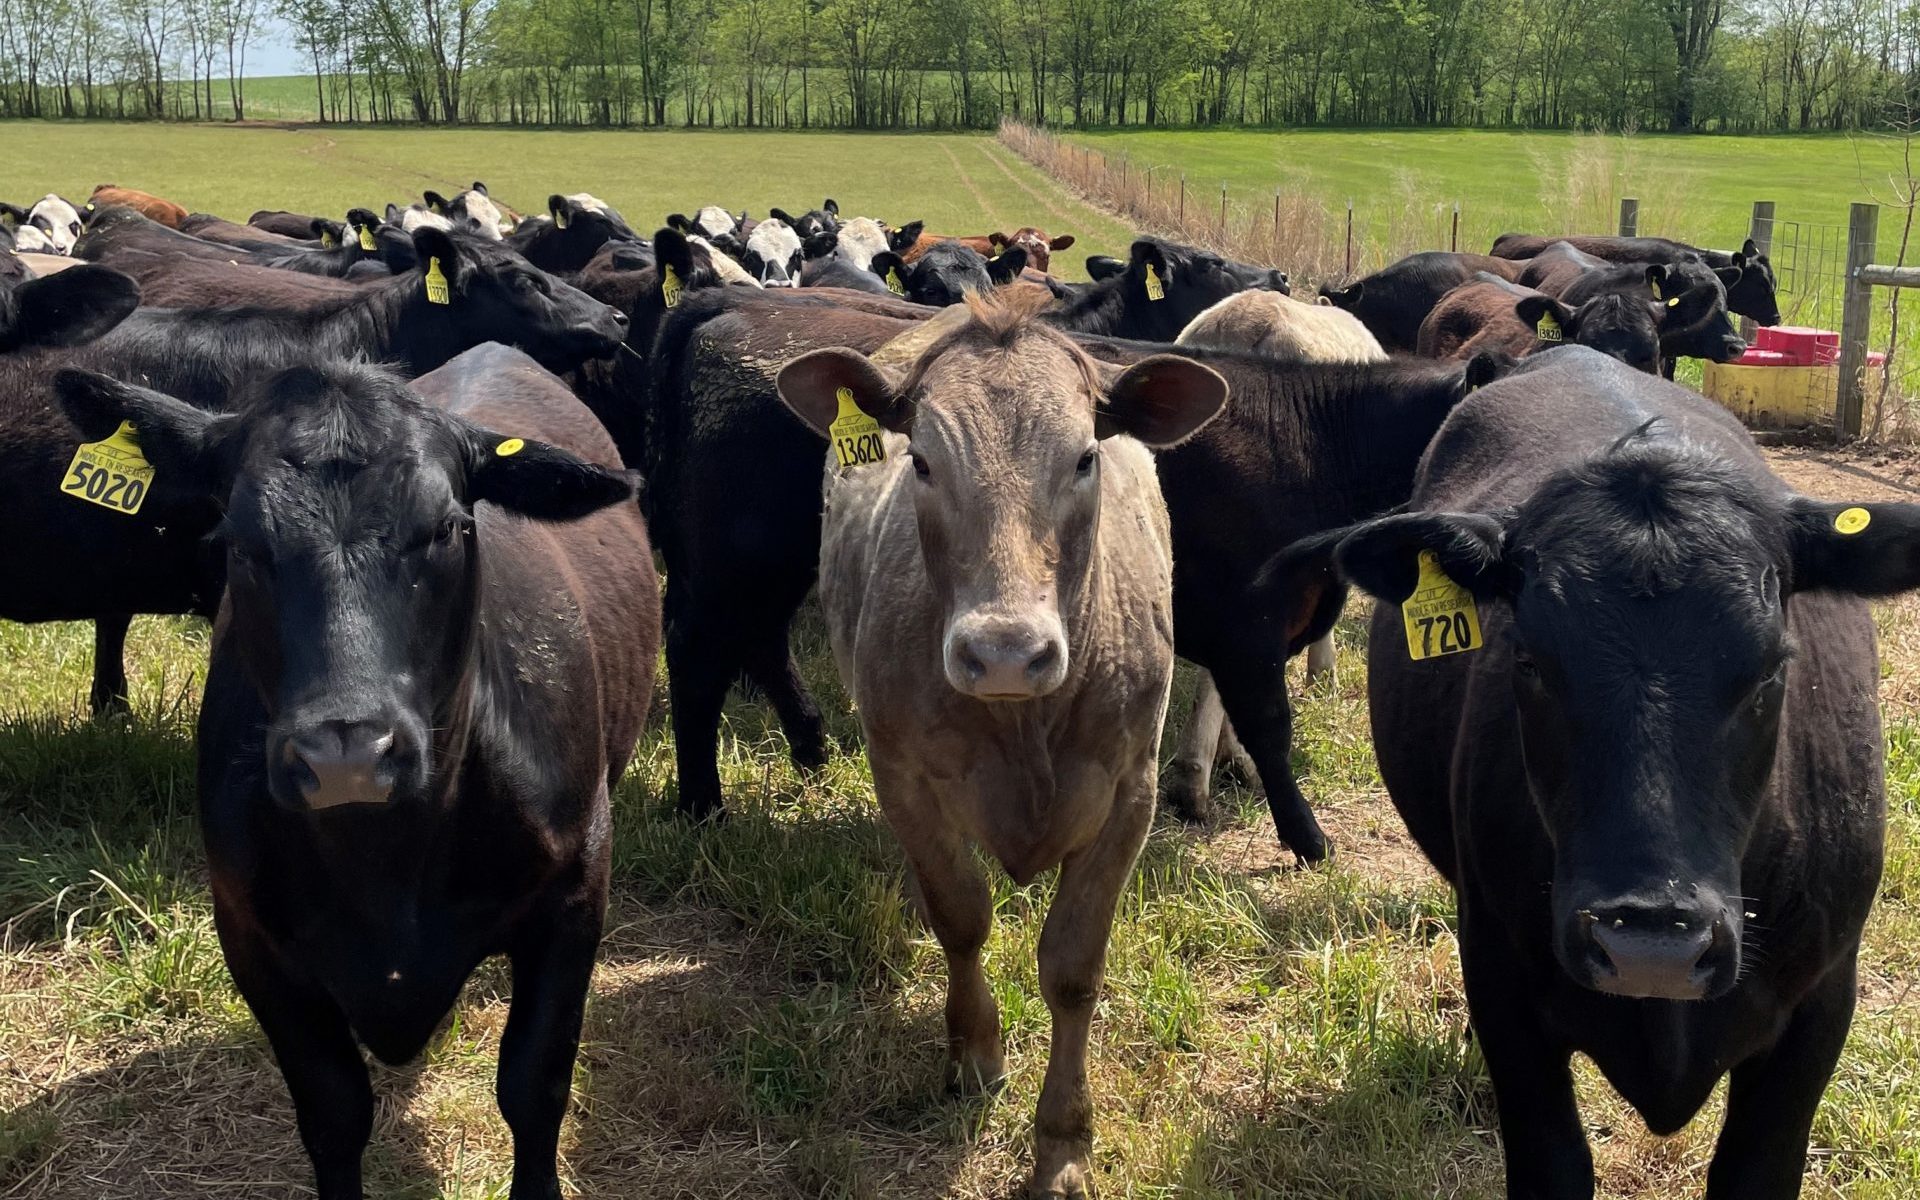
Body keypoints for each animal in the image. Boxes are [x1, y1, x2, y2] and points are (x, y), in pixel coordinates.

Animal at [53, 345, 658, 1200]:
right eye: (239, 539)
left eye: (448, 529)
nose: (347, 755)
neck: (387, 869)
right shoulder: (251, 934)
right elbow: (334, 1112)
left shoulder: (576, 888)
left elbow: (534, 1086)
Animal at [777, 294, 1225, 1197]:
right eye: (920, 461)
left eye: (1086, 457)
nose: (1007, 652)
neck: (1024, 727)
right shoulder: (904, 777)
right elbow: (961, 917)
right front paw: (976, 1053)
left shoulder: (1130, 791)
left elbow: (1073, 969)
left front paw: (1063, 1144)